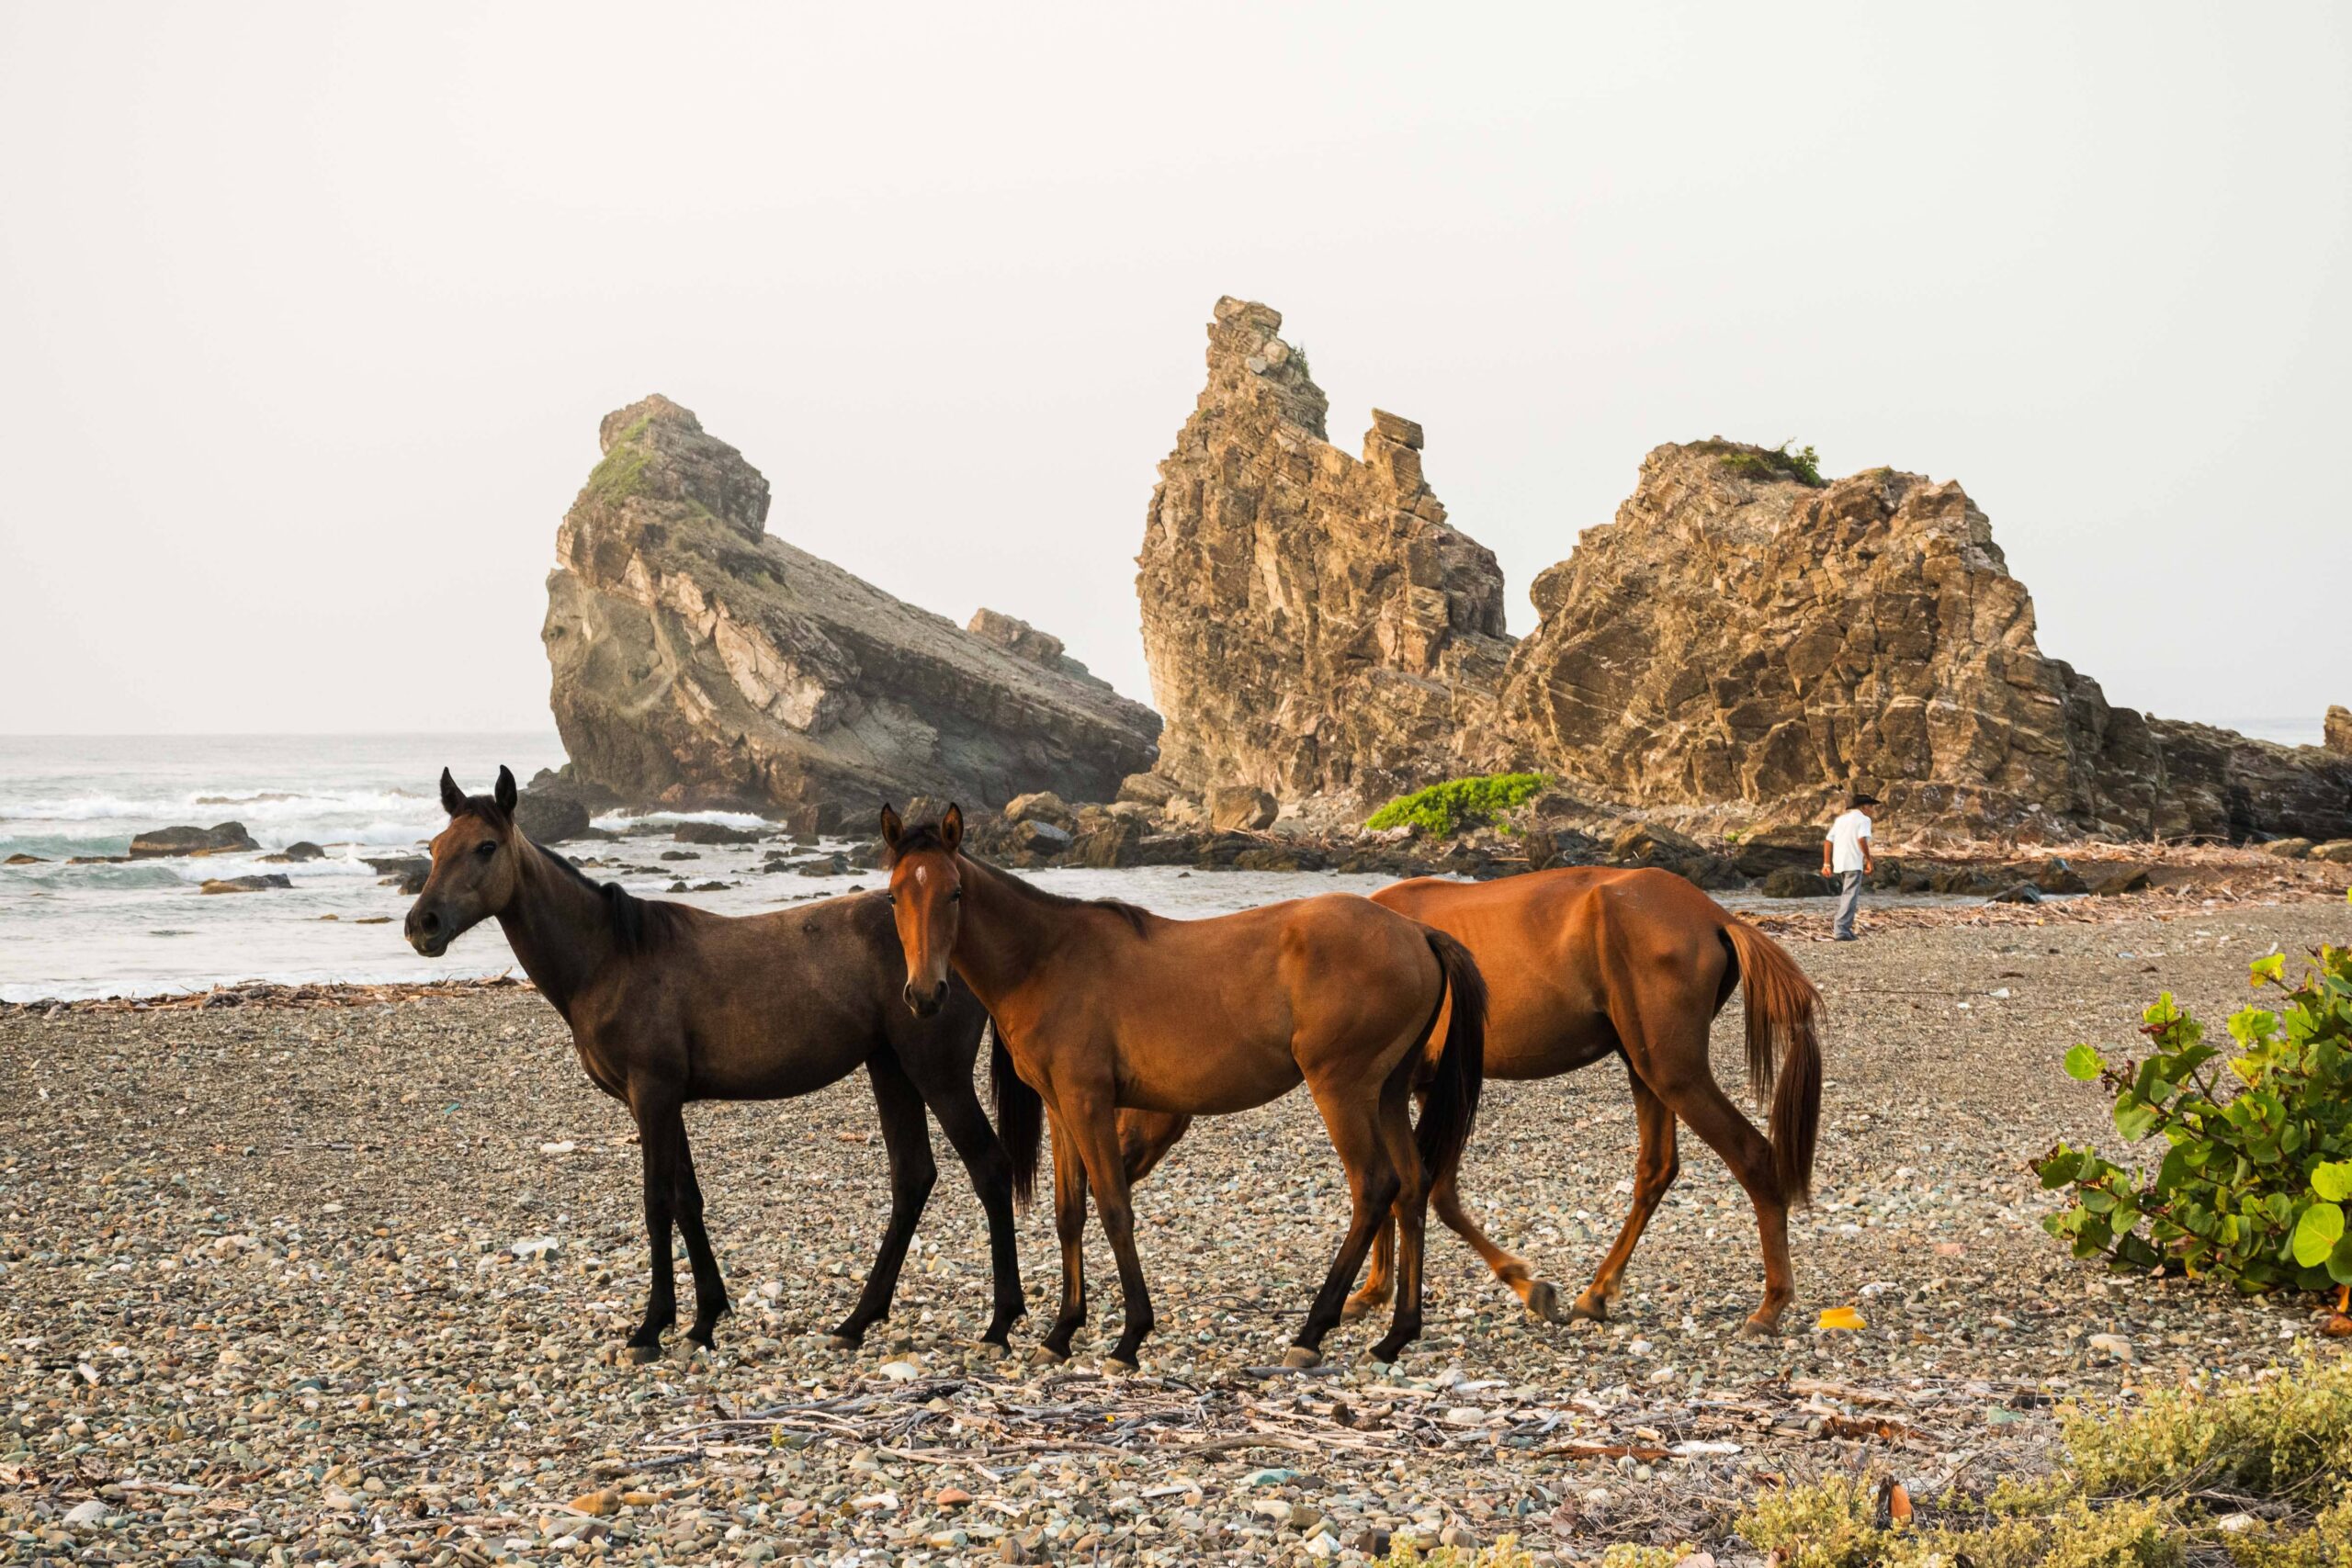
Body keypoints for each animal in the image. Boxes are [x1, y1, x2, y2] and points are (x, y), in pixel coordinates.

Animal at [406, 771, 1030, 1363]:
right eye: (435, 846)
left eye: (486, 847)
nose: (422, 925)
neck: (612, 957)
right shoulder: (662, 1102)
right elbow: (688, 1200)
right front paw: (704, 1320)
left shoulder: (652, 1095)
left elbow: (657, 1202)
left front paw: (652, 1327)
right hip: (891, 1068)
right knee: (912, 1178)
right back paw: (856, 1321)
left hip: (937, 1073)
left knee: (989, 1169)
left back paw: (999, 1325)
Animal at [884, 808, 1486, 1372]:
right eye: (893, 896)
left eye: (954, 893)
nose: (924, 995)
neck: (1046, 959)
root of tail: (1416, 932)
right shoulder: (1060, 1108)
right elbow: (1069, 1213)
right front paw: (1060, 1333)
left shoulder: (1088, 1103)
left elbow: (1114, 1208)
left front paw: (1129, 1337)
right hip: (1387, 1094)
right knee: (1412, 1188)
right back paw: (1395, 1337)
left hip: (1343, 1090)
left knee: (1374, 1187)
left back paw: (1312, 1332)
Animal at [1114, 869, 1815, 1335]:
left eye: (1128, 1090)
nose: (1113, 1160)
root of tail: (1715, 914)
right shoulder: (1403, 1089)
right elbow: (1415, 1188)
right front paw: (1378, 1289)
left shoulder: (1420, 1088)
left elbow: (1426, 1191)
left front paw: (1524, 1285)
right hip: (1646, 1068)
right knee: (1656, 1169)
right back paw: (1597, 1292)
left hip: (1672, 1071)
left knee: (1754, 1156)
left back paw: (1771, 1304)